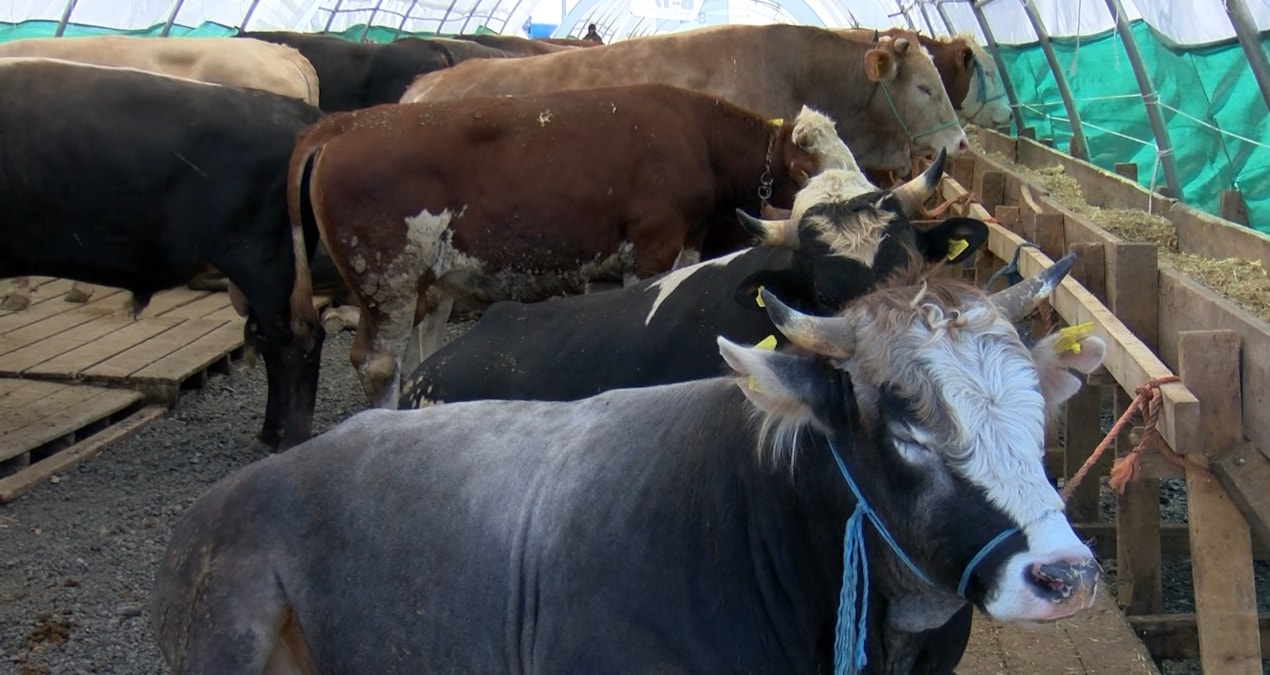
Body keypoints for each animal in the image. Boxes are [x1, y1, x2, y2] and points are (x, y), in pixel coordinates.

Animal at [0, 58, 324, 452]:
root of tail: (298, 112)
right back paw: (267, 436)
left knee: (298, 343)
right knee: (271, 343)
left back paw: (292, 441)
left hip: (266, 266)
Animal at [289, 84, 856, 408]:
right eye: (802, 172)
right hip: (387, 279)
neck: (696, 136)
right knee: (378, 362)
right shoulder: (651, 242)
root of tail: (348, 121)